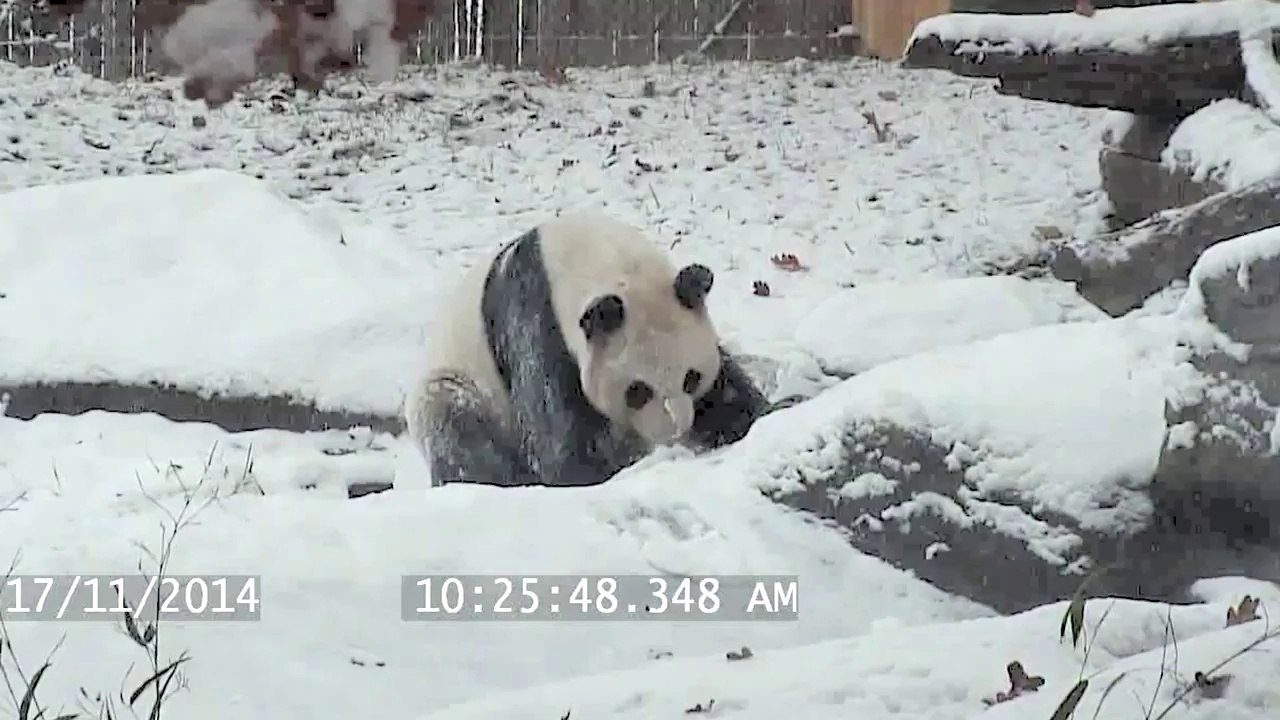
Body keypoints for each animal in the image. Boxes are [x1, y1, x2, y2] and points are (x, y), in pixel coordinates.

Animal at [404, 212, 771, 488]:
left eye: (691, 378)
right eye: (637, 390)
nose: (675, 429)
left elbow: (726, 388)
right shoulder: (535, 320)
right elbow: (554, 434)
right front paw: (598, 470)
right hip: (458, 386)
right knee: (457, 427)